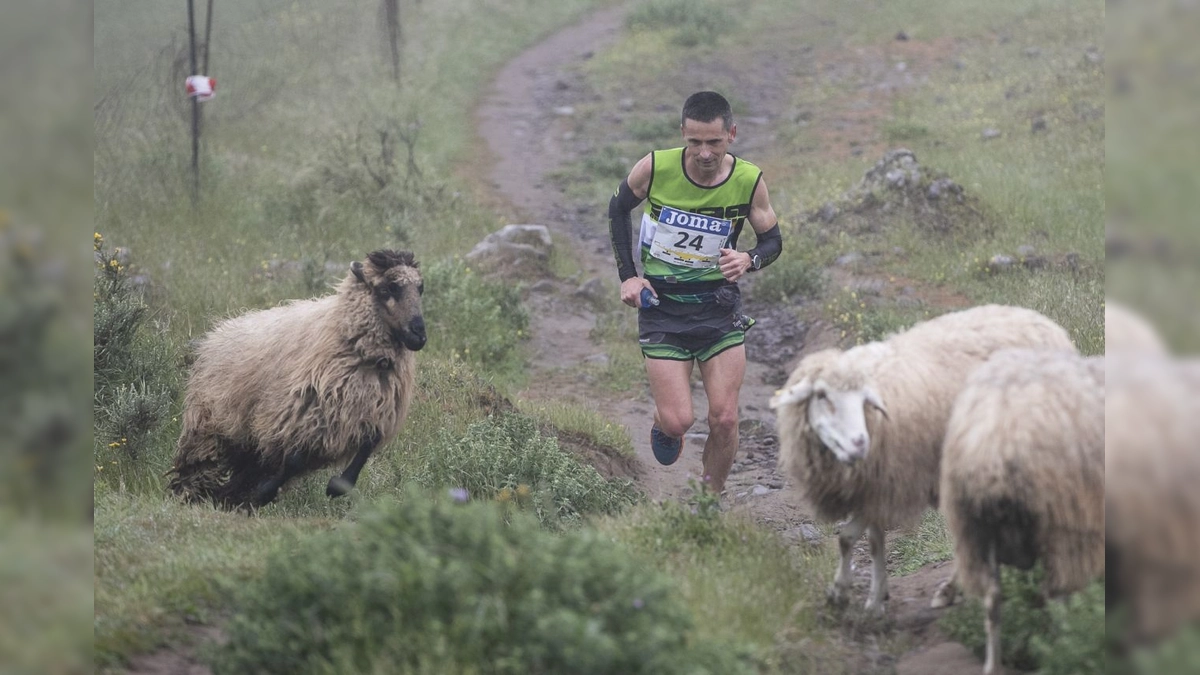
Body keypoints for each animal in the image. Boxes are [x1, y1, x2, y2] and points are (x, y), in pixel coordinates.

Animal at [166, 249, 429, 506]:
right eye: (387, 289)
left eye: (420, 288)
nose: (419, 334)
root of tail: (217, 331)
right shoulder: (299, 414)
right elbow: (294, 459)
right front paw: (265, 493)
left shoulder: (371, 413)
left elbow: (364, 450)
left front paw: (337, 486)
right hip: (210, 426)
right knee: (200, 462)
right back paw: (190, 493)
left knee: (250, 467)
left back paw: (230, 498)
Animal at [772, 303, 1084, 610]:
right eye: (821, 395)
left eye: (863, 401)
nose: (860, 444)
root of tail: (1045, 323)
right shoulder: (876, 486)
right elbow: (871, 539)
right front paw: (875, 594)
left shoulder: (890, 485)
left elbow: (848, 537)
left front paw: (846, 594)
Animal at [936, 345, 1104, 672]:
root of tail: (993, 442)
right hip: (1061, 528)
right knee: (1057, 594)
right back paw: (1065, 646)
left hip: (975, 528)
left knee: (993, 599)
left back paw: (994, 665)